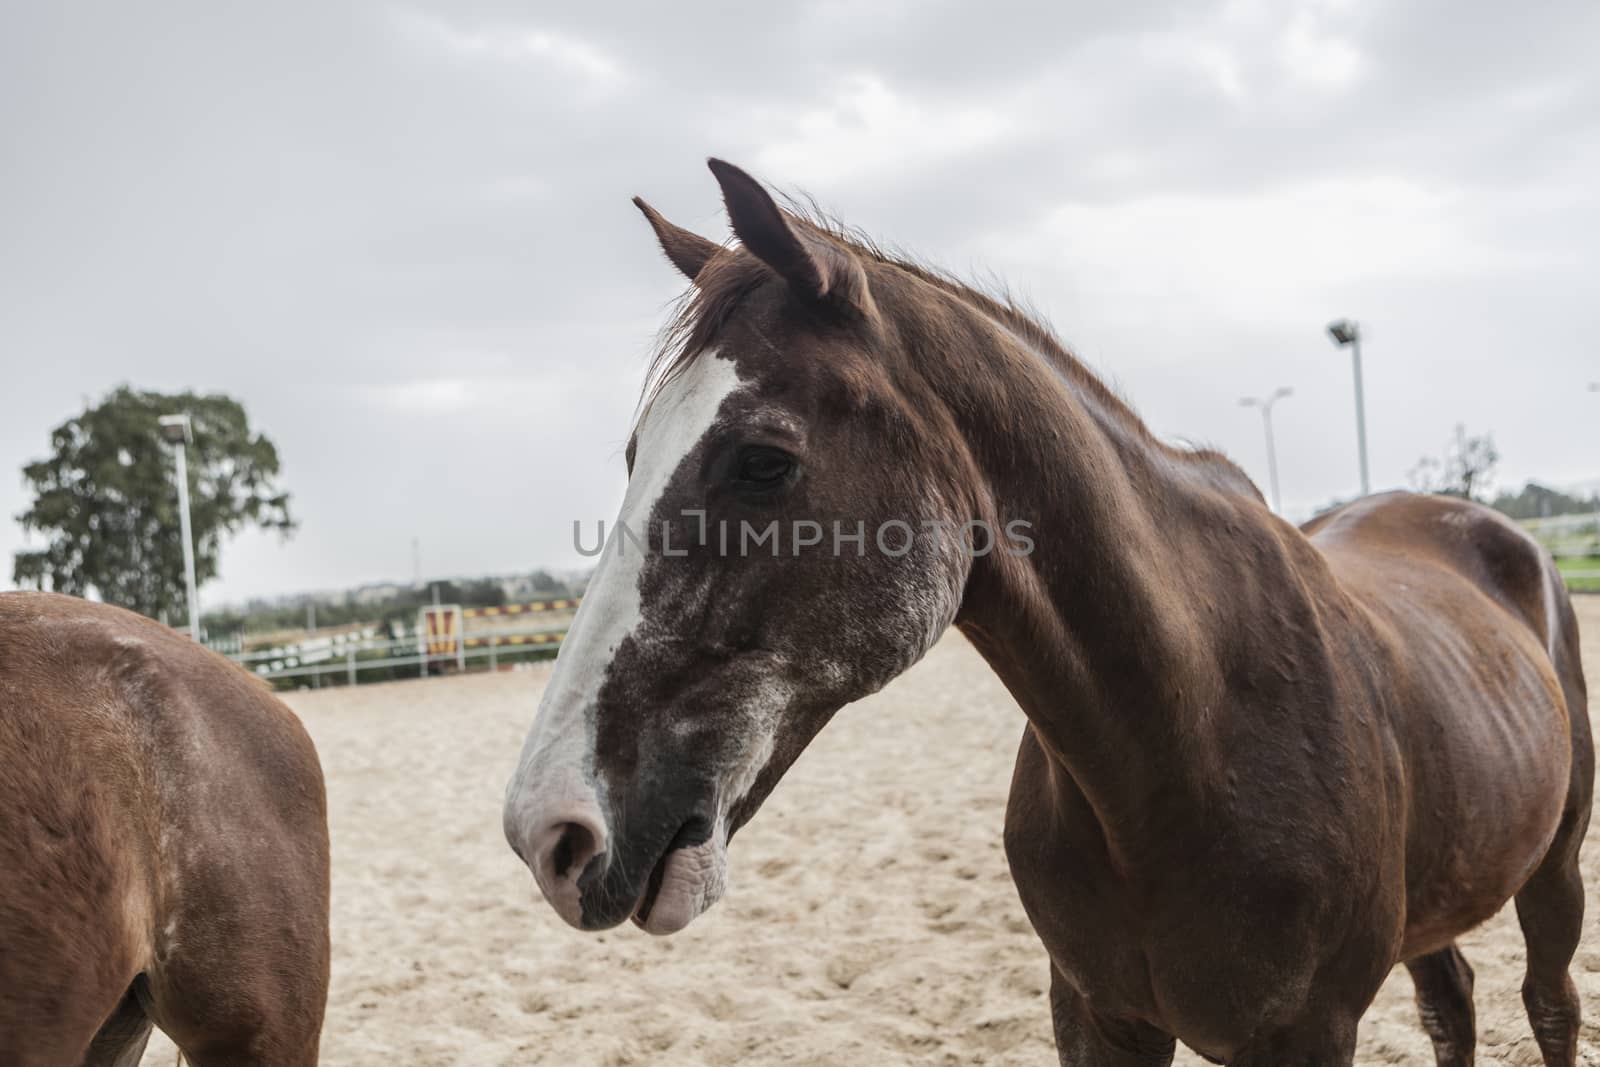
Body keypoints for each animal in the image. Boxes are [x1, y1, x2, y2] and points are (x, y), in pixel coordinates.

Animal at [499, 160, 1587, 1067]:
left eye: (763, 461)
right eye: (634, 455)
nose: (549, 832)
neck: (1186, 735)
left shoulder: (1307, 1034)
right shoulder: (1096, 1015)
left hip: (1554, 871)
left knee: (1548, 1001)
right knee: (1451, 1000)